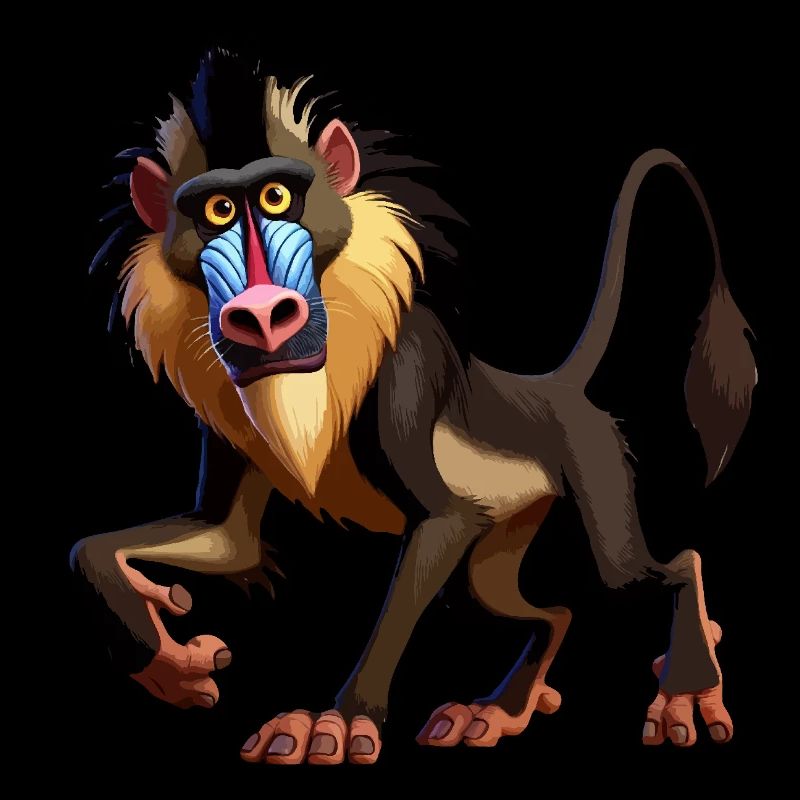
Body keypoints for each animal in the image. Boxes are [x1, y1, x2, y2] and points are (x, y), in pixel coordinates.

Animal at [71, 50, 756, 765]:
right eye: (218, 209)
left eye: (276, 198)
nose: (260, 315)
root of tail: (555, 390)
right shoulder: (227, 424)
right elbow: (201, 541)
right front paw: (159, 654)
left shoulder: (406, 381)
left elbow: (440, 521)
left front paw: (339, 722)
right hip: (499, 547)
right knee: (538, 608)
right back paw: (501, 709)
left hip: (595, 465)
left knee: (657, 570)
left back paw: (687, 680)